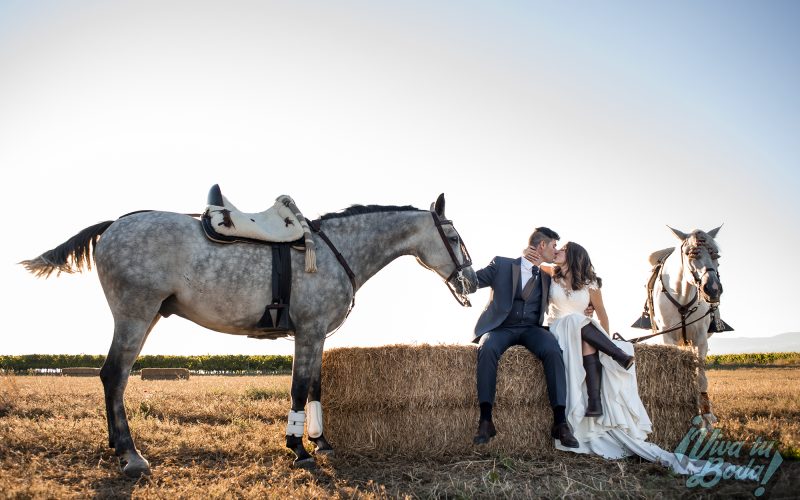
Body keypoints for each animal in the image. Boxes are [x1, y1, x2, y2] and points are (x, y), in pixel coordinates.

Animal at [21, 193, 476, 474]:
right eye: (453, 236)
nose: (470, 281)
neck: (335, 250)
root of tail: (114, 223)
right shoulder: (308, 331)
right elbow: (298, 388)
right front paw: (298, 449)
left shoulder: (317, 335)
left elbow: (316, 386)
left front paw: (321, 441)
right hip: (135, 315)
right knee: (114, 376)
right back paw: (131, 456)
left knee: (112, 378)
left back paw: (119, 447)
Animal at [652, 226, 720, 426]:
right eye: (690, 253)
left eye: (716, 254)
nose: (713, 289)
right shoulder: (668, 337)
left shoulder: (701, 339)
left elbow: (701, 377)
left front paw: (706, 415)